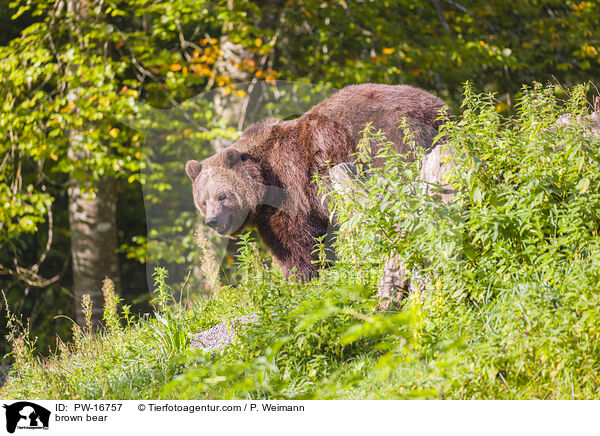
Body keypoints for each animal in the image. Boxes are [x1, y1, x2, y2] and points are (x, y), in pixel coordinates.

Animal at [185, 83, 448, 278]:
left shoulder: (290, 190)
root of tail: (435, 106)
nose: (212, 221)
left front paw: (303, 277)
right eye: (203, 202)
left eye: (223, 196)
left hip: (387, 142)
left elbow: (296, 243)